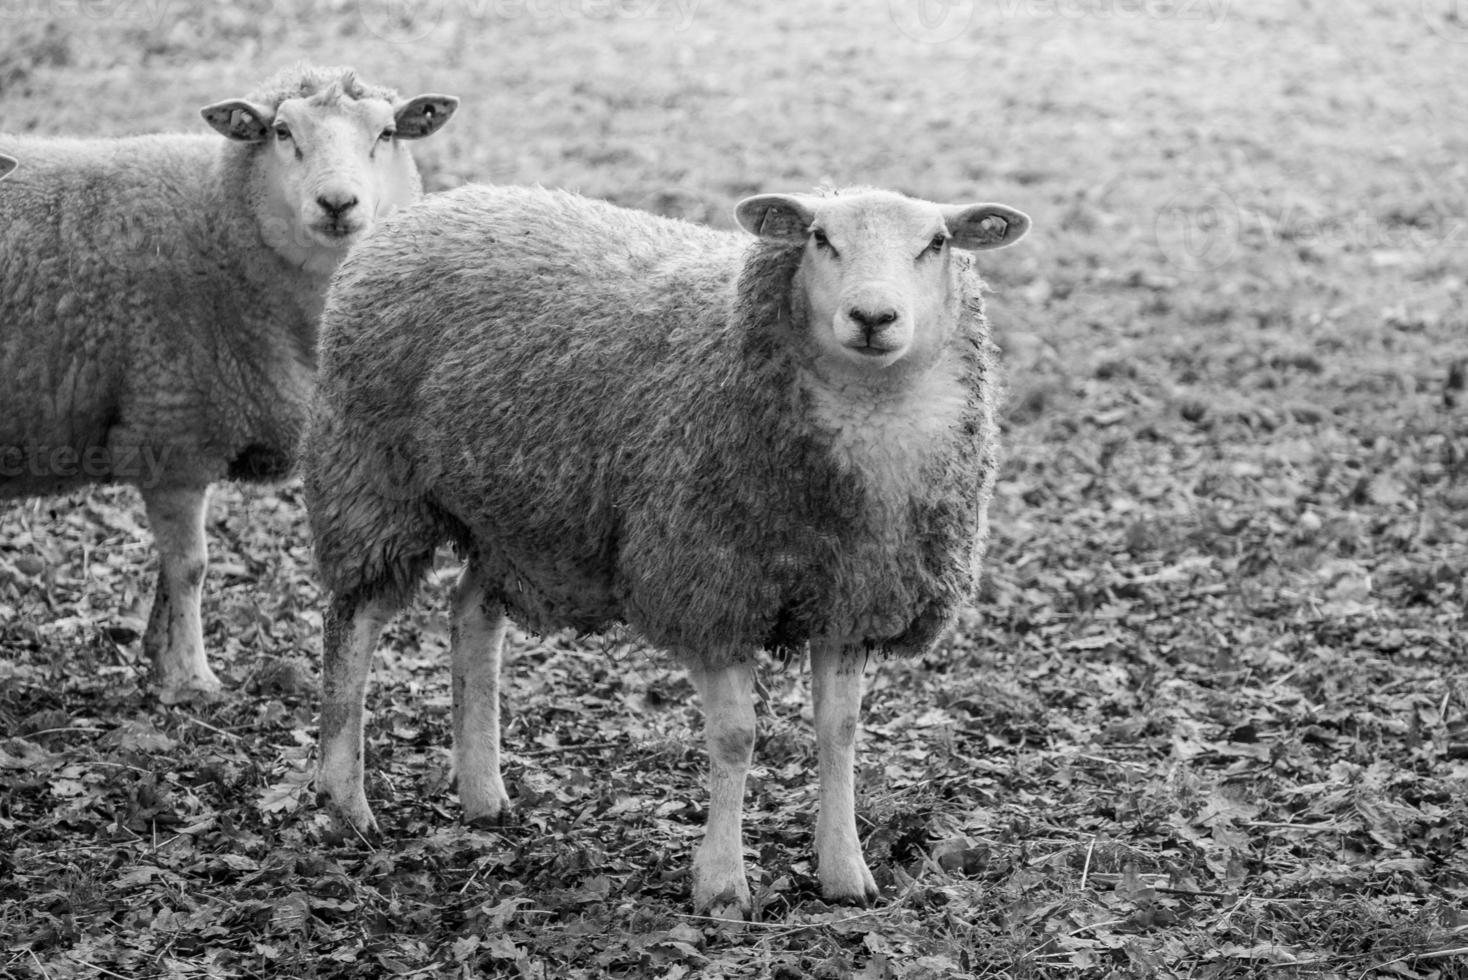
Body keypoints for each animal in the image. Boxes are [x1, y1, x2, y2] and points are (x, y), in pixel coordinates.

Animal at [0, 63, 458, 704]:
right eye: (283, 132)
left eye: (387, 132)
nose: (337, 203)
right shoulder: (172, 429)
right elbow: (191, 567)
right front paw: (191, 677)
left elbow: (169, 570)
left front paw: (158, 652)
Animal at [303, 183, 1027, 921]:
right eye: (820, 238)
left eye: (936, 243)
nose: (873, 317)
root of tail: (435, 204)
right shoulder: (708, 589)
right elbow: (737, 738)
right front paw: (722, 884)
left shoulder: (851, 599)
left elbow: (840, 731)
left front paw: (845, 872)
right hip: (372, 477)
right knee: (353, 623)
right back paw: (346, 802)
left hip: (515, 516)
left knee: (471, 614)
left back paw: (482, 793)